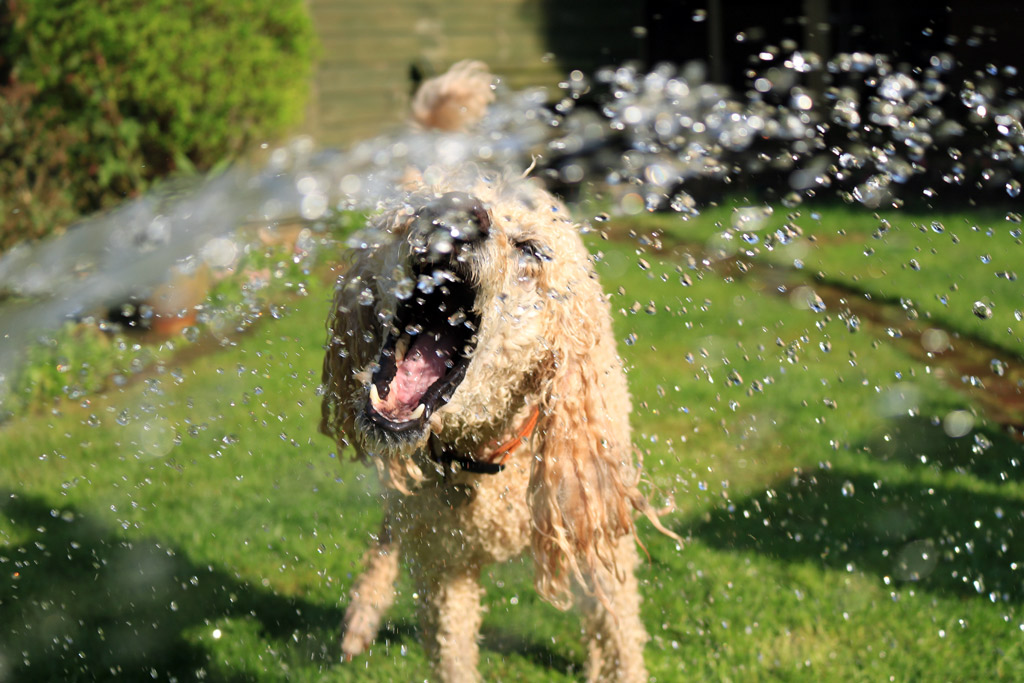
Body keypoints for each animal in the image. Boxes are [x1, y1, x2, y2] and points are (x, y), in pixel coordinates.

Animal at [321, 61, 671, 679]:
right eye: (411, 214)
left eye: (531, 250)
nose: (457, 213)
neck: (485, 453)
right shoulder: (443, 572)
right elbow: (452, 652)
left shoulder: (598, 535)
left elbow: (621, 639)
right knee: (391, 528)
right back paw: (364, 612)